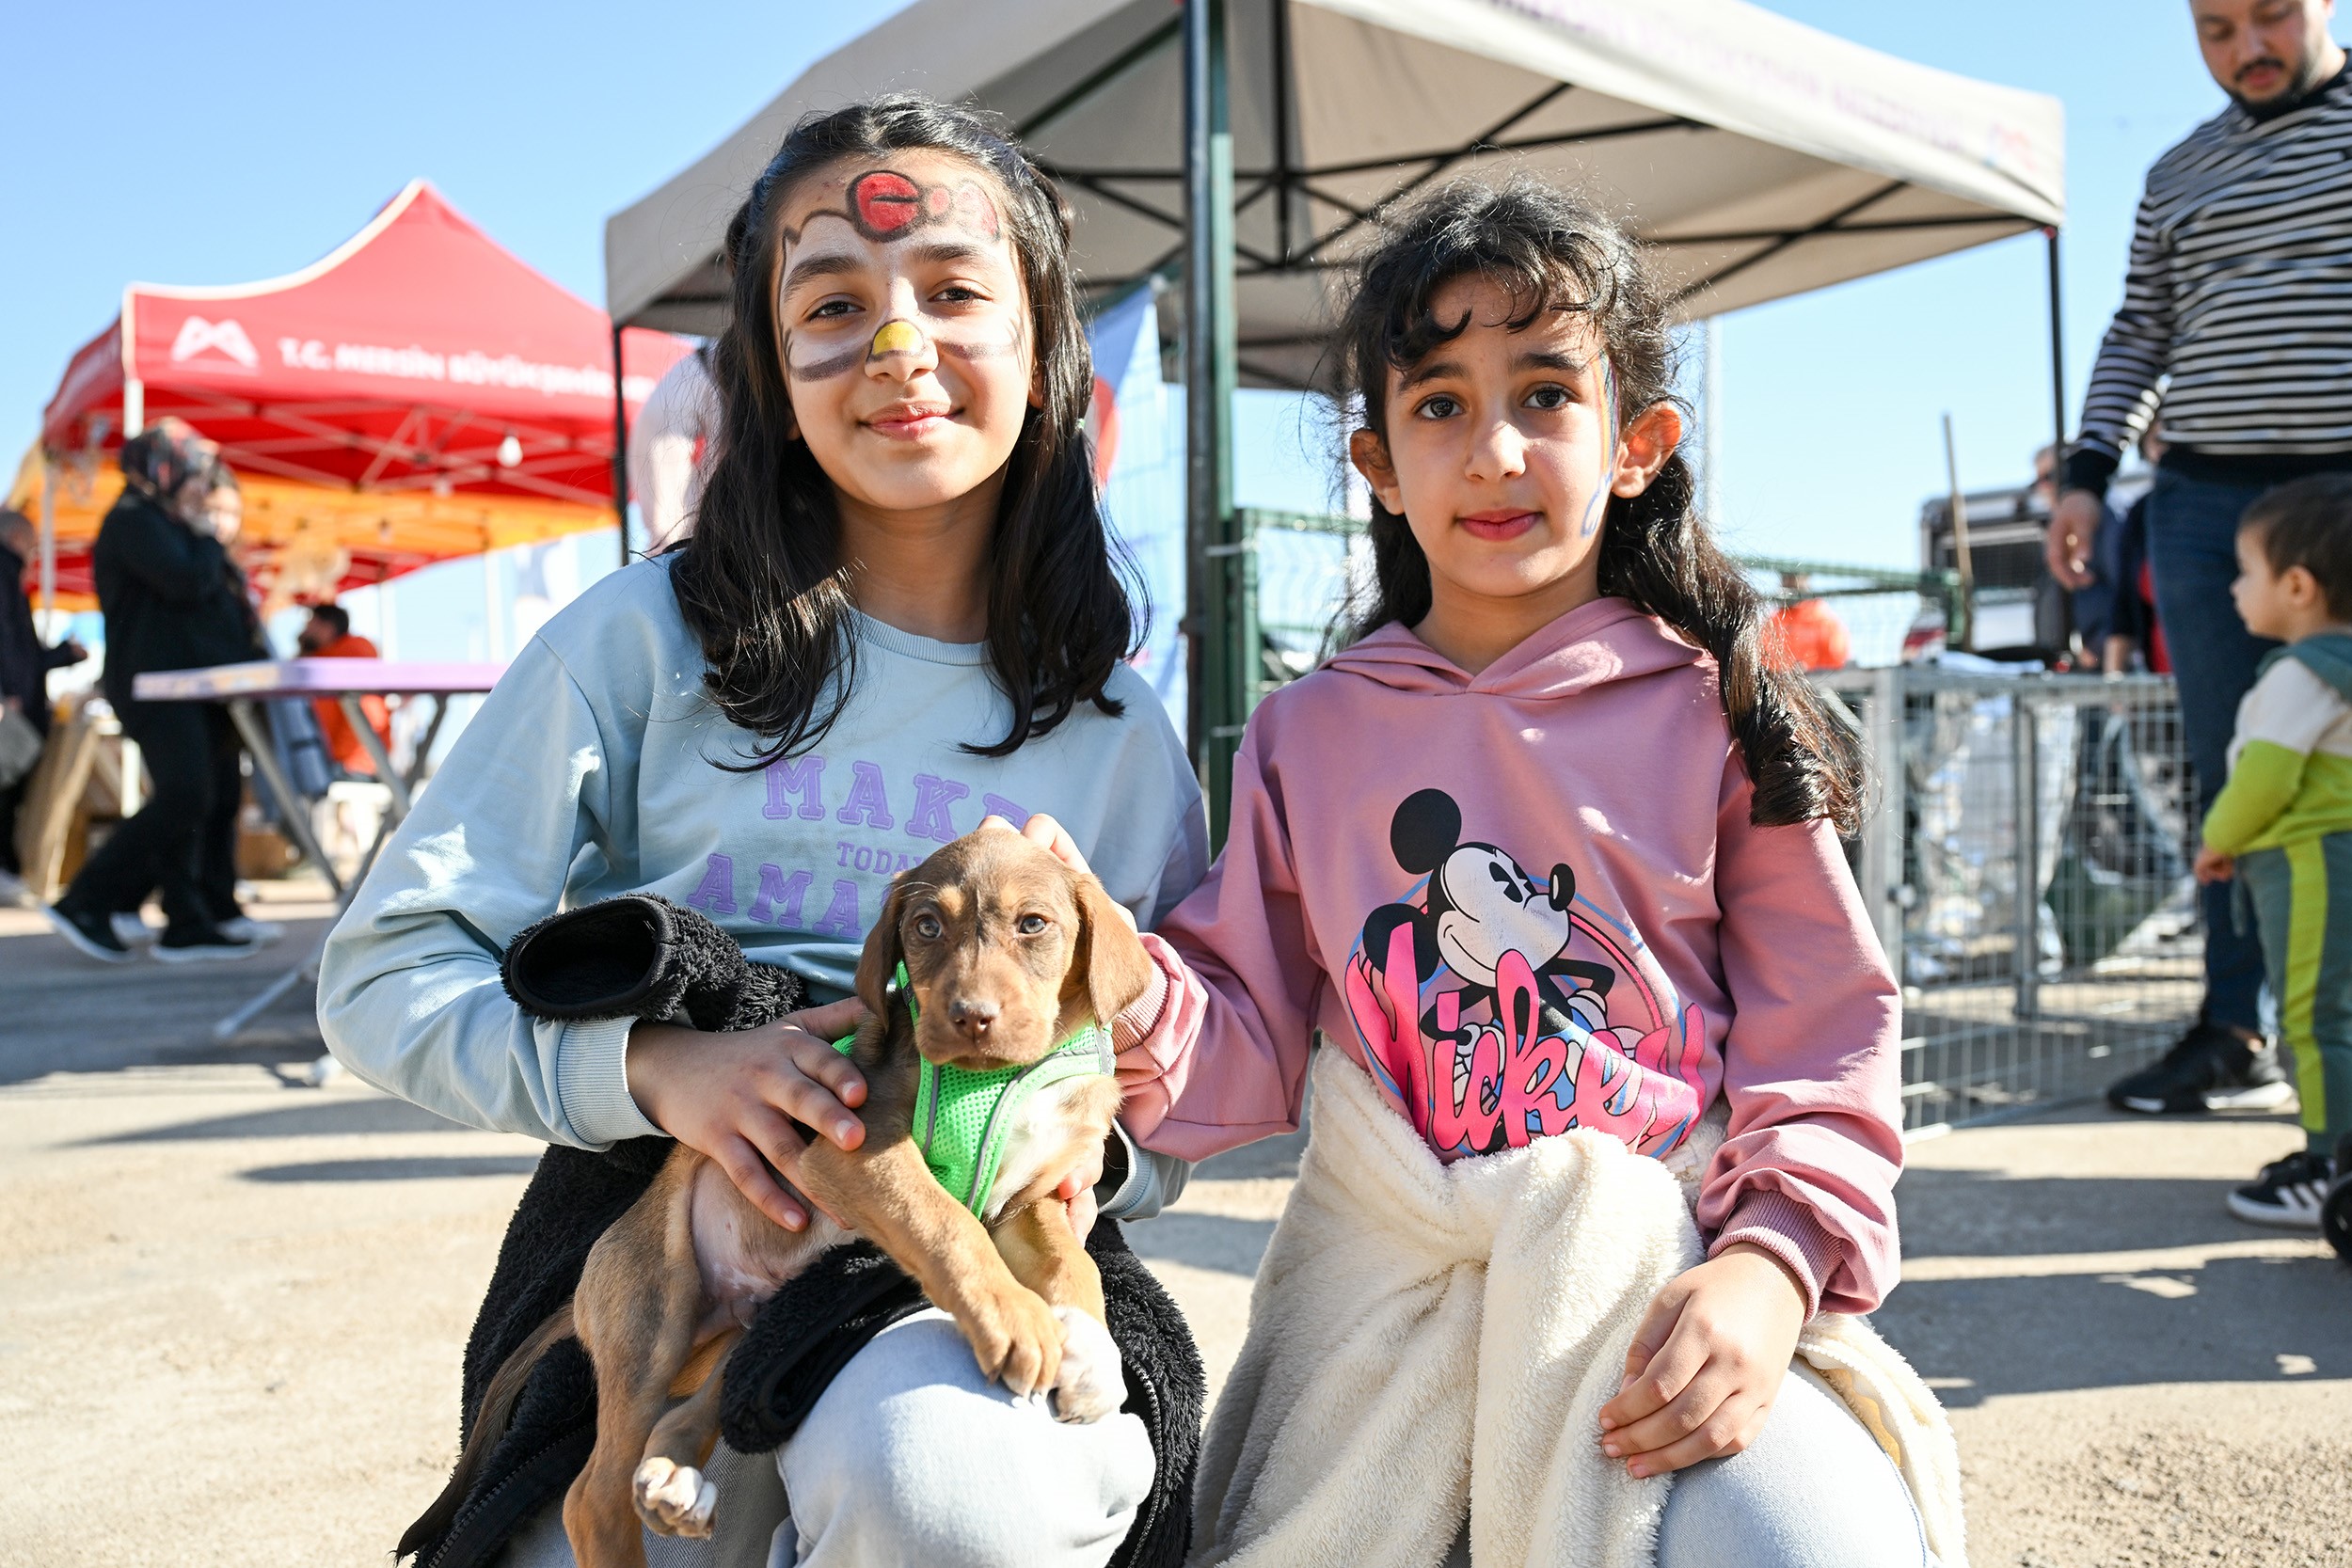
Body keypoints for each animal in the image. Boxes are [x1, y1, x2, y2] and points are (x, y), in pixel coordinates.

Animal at [439, 827, 1148, 1560]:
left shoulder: (1030, 1200)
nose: (971, 1017)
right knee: (591, 1500)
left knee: (692, 1414)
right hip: (655, 1313)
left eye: (1034, 924)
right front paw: (1014, 1320)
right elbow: (947, 1223)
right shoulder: (854, 1148)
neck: (997, 1081)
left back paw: (673, 1480)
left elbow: (1073, 1259)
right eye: (926, 926)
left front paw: (1093, 1353)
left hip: (758, 1330)